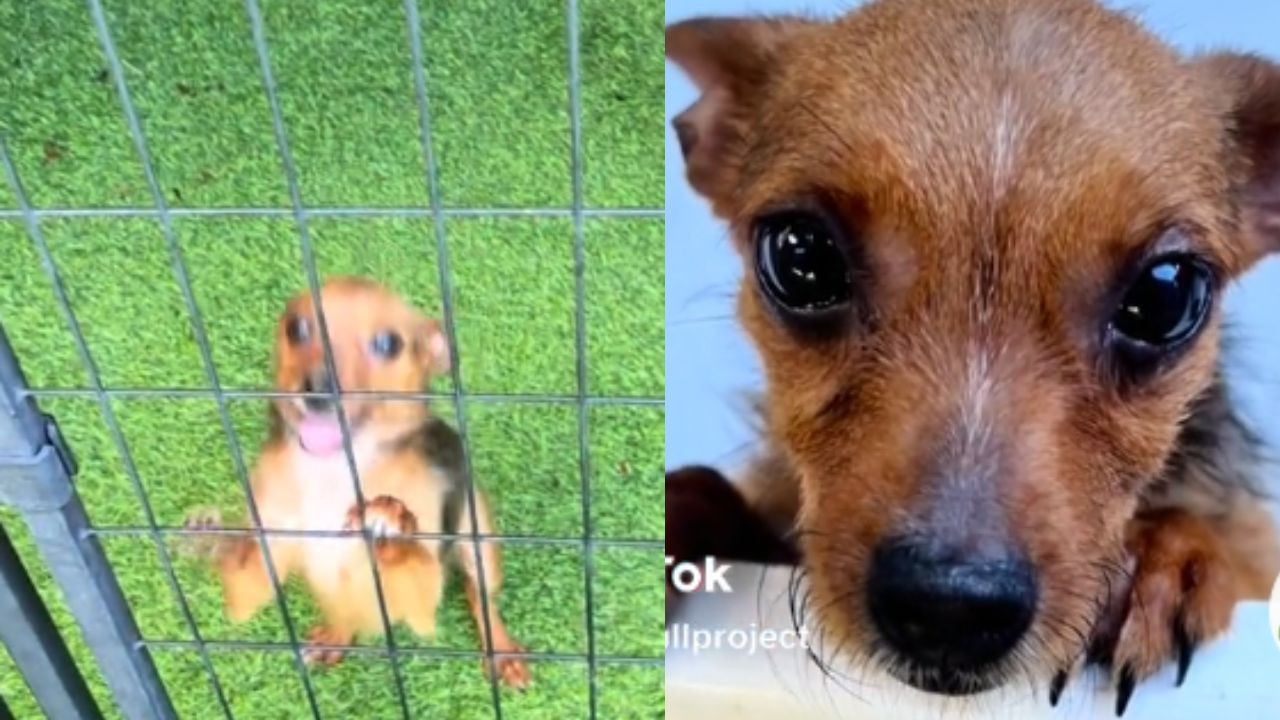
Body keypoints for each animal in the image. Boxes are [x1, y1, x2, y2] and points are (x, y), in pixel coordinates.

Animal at [185, 274, 529, 681]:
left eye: (388, 343)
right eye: (296, 328)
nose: (318, 388)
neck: (331, 470)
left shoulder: (421, 589)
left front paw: (389, 515)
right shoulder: (261, 562)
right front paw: (209, 538)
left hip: (478, 537)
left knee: (480, 595)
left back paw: (502, 652)